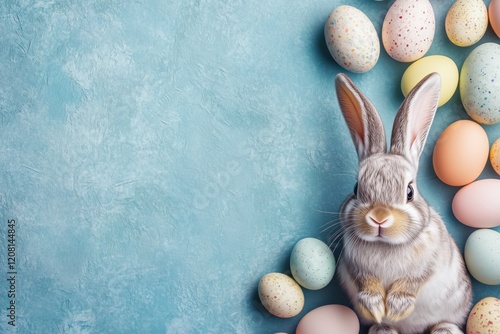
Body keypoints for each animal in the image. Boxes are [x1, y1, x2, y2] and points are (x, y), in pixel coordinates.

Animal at [334, 73, 470, 334]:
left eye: (409, 191)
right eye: (356, 188)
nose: (379, 218)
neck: (386, 245)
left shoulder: (428, 265)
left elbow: (412, 282)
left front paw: (397, 308)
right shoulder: (356, 268)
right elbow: (367, 284)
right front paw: (377, 309)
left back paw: (444, 329)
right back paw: (383, 329)